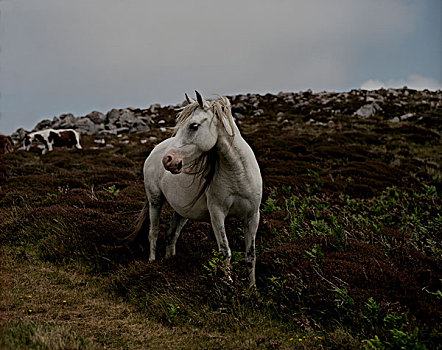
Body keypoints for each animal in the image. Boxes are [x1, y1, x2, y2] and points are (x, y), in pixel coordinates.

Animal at [131, 90, 262, 288]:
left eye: (193, 126)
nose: (168, 160)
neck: (239, 174)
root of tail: (155, 150)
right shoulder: (217, 214)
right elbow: (225, 251)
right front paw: (228, 284)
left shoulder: (252, 216)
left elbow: (251, 255)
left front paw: (251, 288)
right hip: (155, 201)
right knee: (153, 232)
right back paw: (152, 262)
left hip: (182, 211)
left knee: (172, 234)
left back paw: (170, 263)